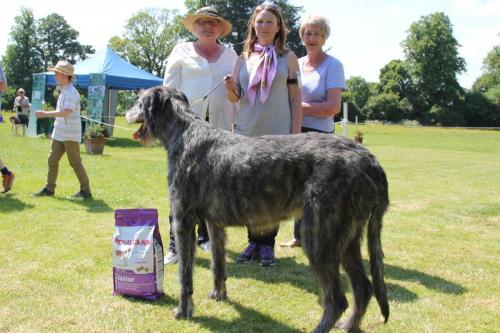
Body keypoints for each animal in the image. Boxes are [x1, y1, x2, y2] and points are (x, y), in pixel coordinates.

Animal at [126, 86, 390, 332]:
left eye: (139, 102)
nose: (127, 113)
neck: (185, 132)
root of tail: (372, 162)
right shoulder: (214, 224)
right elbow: (217, 263)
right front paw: (219, 294)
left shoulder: (183, 221)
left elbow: (185, 275)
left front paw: (184, 310)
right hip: (347, 237)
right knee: (363, 288)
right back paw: (350, 325)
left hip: (319, 236)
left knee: (337, 300)